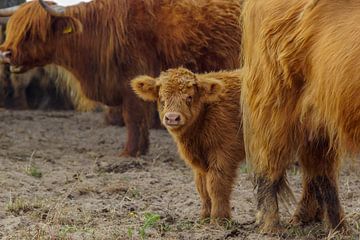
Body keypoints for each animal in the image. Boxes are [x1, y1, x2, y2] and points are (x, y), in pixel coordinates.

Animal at [131, 67, 245, 221]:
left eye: (189, 97)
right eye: (161, 97)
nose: (172, 118)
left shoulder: (224, 153)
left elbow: (217, 185)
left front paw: (219, 218)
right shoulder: (200, 164)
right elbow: (202, 187)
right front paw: (204, 217)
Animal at [240, 0, 360, 233]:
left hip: (317, 116)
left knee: (320, 167)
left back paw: (336, 227)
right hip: (274, 102)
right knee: (269, 162)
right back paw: (271, 227)